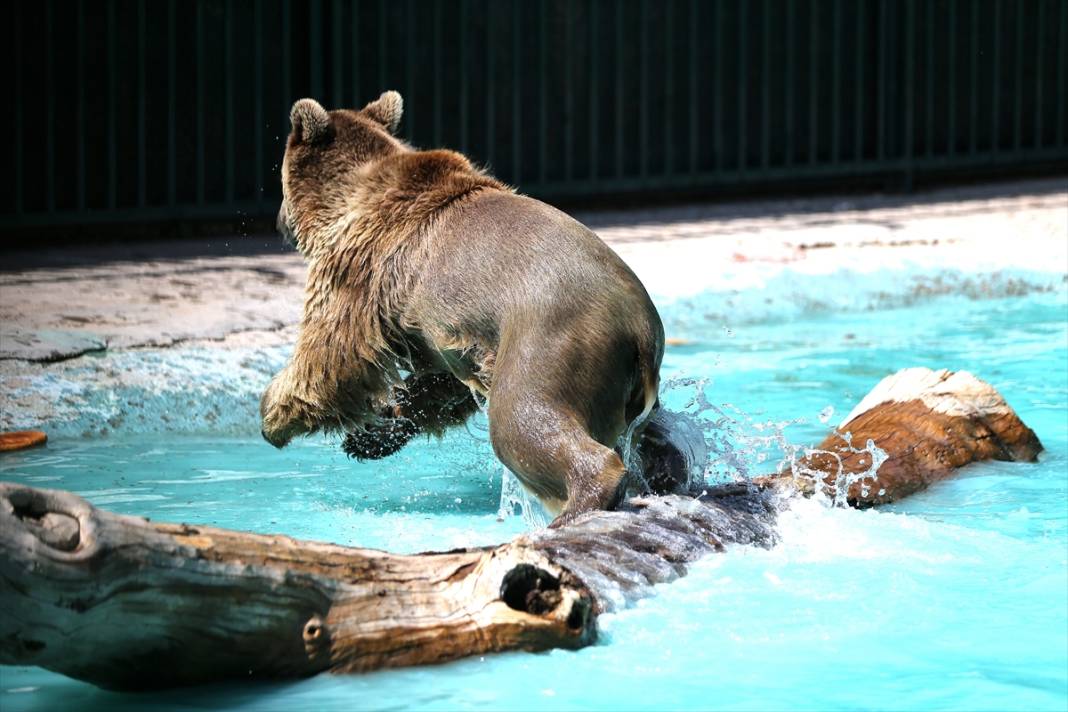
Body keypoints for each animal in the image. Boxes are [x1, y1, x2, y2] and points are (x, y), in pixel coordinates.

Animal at [262, 91, 687, 527]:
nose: (278, 220)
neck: (345, 201)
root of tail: (640, 327)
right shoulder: (442, 335)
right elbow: (437, 386)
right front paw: (370, 434)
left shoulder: (363, 269)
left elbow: (333, 355)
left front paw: (274, 415)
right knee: (651, 437)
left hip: (551, 340)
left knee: (522, 419)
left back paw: (575, 506)